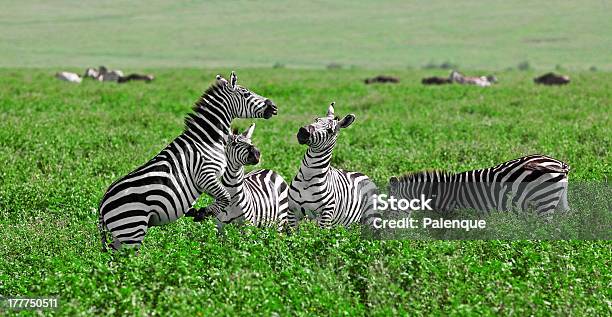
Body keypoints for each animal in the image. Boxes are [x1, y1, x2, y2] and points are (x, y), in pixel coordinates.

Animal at [97, 71, 278, 249]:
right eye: (246, 93)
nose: (274, 107)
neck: (205, 139)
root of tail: (102, 205)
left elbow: (223, 197)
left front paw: (200, 212)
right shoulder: (205, 174)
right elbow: (225, 196)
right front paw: (202, 213)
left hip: (123, 235)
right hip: (131, 230)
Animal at [390, 154, 572, 217]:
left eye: (390, 206)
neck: (440, 192)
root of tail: (560, 164)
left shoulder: (457, 213)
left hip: (544, 201)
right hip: (558, 200)